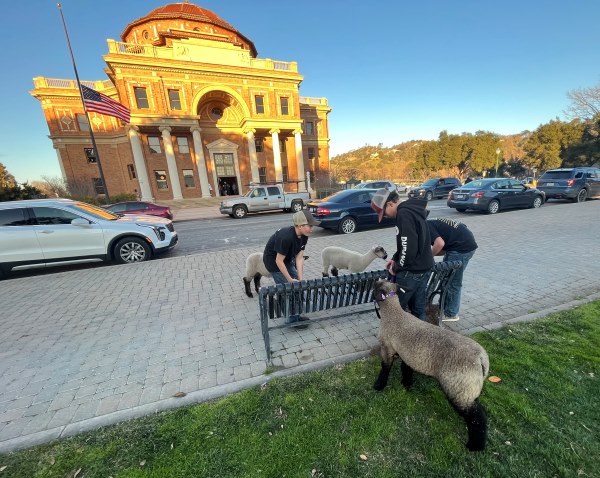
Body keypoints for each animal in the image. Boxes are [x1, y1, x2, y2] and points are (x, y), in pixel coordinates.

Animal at [372, 278, 490, 450]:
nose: (373, 283)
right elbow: (406, 368)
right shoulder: (407, 354)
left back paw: (475, 445)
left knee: (477, 416)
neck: (393, 313)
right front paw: (406, 384)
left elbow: (385, 368)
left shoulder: (387, 347)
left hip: (459, 387)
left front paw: (379, 385)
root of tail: (482, 358)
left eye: (375, 286)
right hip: (470, 387)